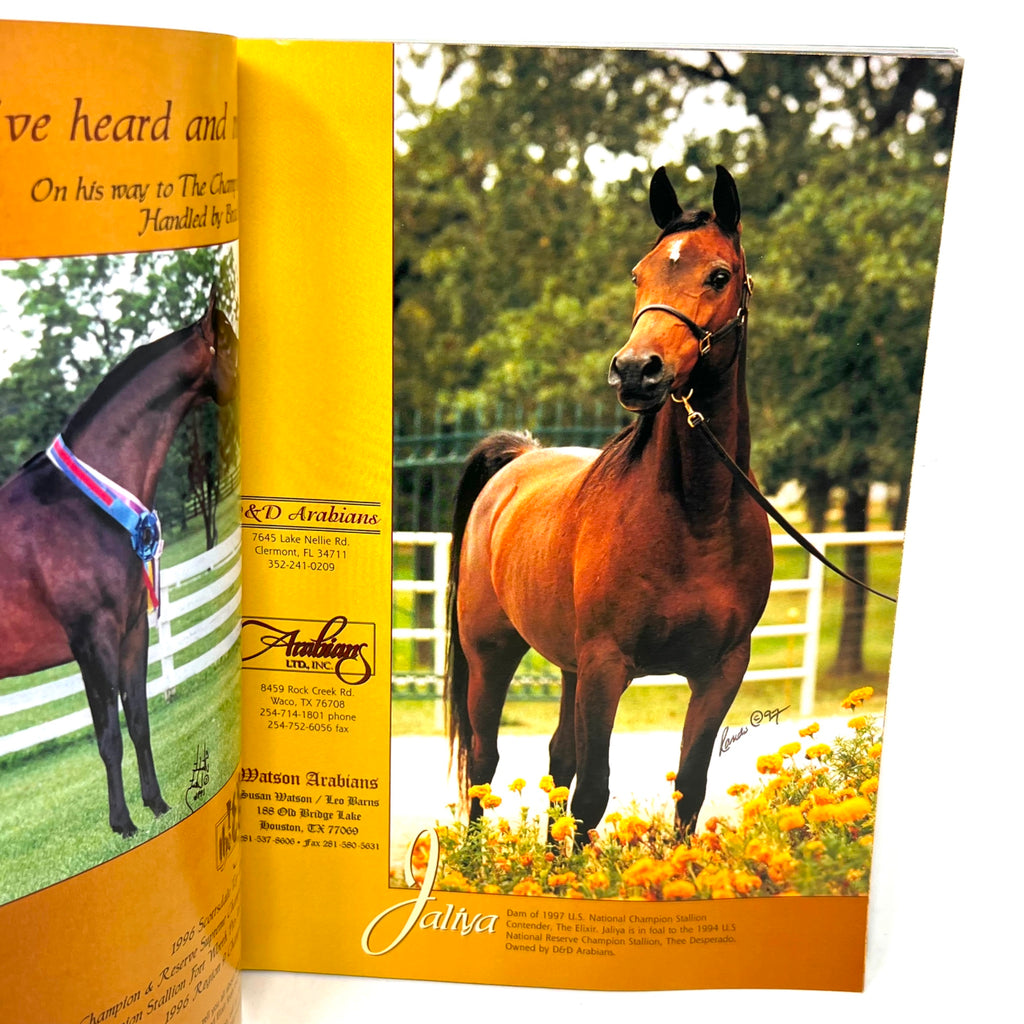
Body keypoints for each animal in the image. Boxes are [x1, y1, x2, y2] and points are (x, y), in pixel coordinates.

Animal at [0, 288, 237, 837]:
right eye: (235, 349)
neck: (85, 508)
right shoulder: (92, 640)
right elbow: (107, 734)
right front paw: (123, 824)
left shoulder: (133, 631)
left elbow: (139, 721)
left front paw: (157, 805)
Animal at [445, 166, 773, 840]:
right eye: (638, 275)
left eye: (718, 275)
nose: (635, 370)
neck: (696, 517)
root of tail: (518, 458)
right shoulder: (606, 666)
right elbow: (593, 793)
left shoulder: (721, 671)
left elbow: (689, 791)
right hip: (492, 655)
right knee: (484, 762)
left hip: (566, 663)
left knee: (555, 759)